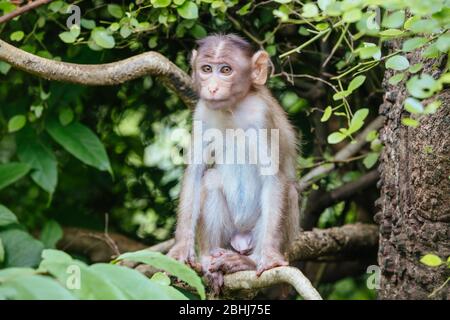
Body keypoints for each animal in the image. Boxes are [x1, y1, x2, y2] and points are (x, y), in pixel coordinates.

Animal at [168, 34, 298, 292]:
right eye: (207, 69)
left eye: (226, 70)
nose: (212, 87)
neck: (232, 109)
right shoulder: (202, 112)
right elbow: (195, 172)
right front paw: (181, 248)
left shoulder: (261, 115)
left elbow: (274, 177)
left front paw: (269, 256)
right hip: (229, 237)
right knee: (210, 181)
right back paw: (209, 261)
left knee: (288, 190)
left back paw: (247, 262)